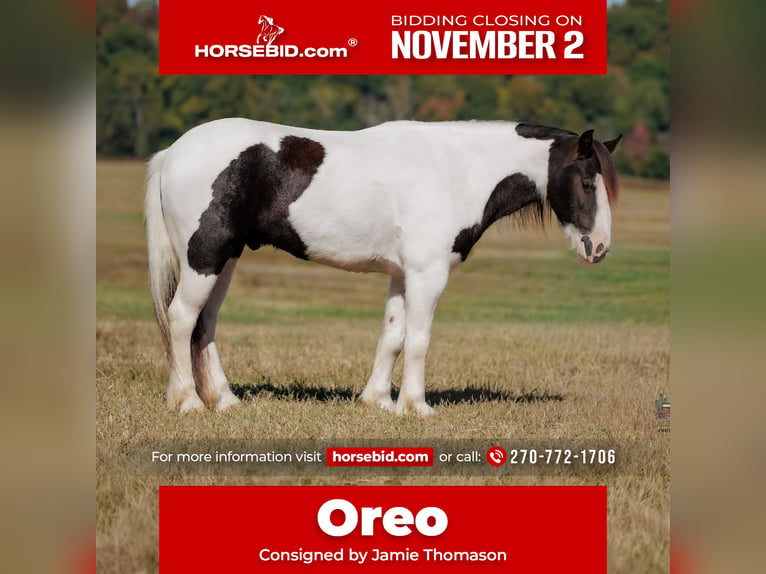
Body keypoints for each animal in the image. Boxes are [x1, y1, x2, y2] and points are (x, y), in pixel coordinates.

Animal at [145, 119, 621, 415]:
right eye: (586, 182)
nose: (599, 248)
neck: (455, 171)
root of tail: (173, 152)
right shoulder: (428, 275)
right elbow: (418, 340)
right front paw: (417, 406)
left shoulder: (402, 275)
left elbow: (391, 336)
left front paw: (378, 401)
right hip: (205, 257)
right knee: (181, 318)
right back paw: (188, 402)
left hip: (224, 260)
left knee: (205, 324)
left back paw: (223, 400)